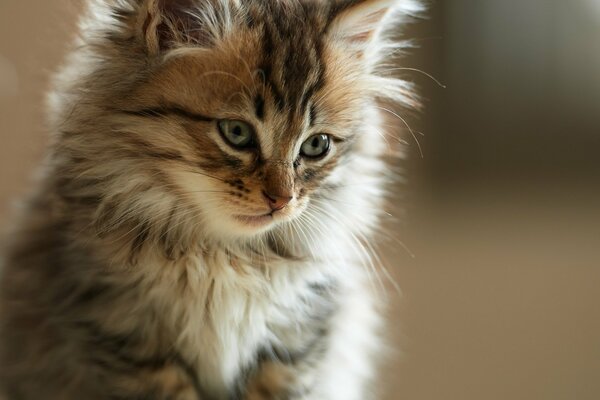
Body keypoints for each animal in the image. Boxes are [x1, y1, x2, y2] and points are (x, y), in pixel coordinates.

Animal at [0, 0, 422, 400]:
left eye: (316, 145)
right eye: (236, 133)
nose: (281, 199)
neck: (221, 253)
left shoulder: (296, 340)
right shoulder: (125, 333)